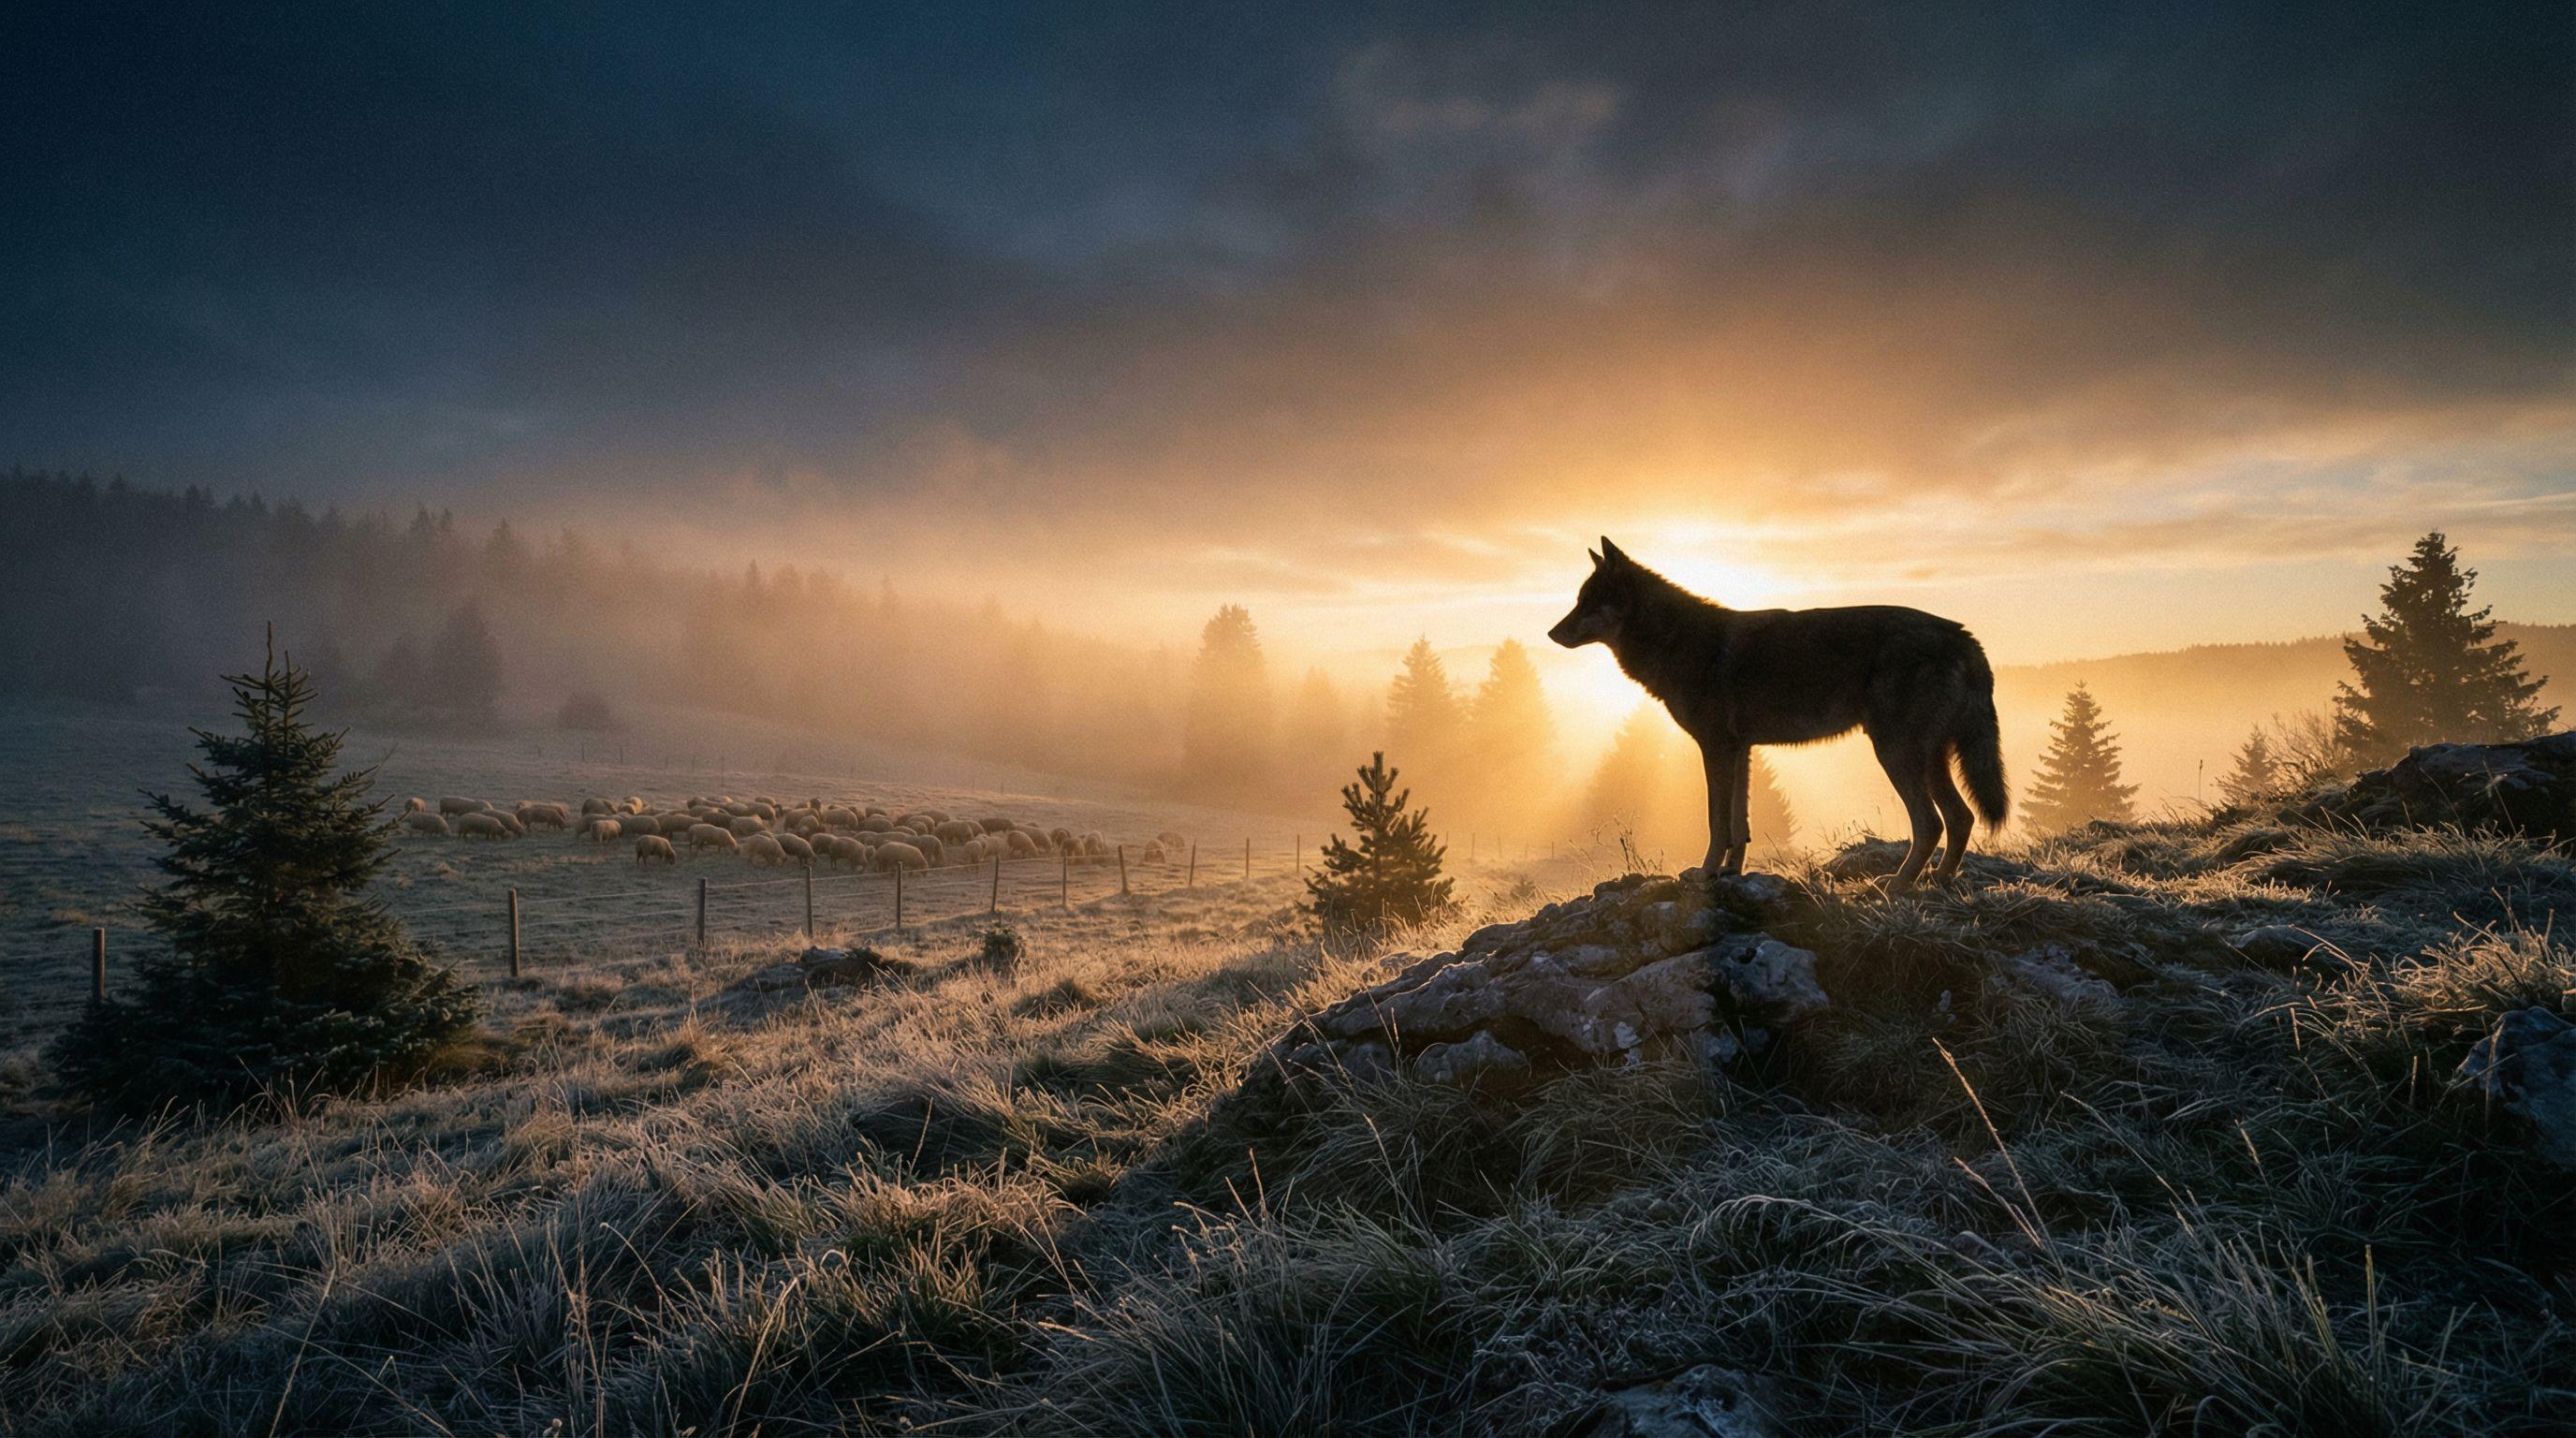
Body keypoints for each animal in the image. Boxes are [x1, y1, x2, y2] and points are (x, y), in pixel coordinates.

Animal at [1549, 538, 2008, 887]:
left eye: (1586, 603)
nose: (1551, 633)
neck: (1674, 640)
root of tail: (1964, 636)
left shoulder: (1716, 749)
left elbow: (1716, 822)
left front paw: (1705, 874)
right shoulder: (1741, 751)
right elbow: (1738, 827)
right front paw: (1730, 873)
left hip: (1895, 755)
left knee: (1931, 823)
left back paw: (1895, 887)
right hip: (1928, 760)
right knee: (1961, 818)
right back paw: (1939, 881)